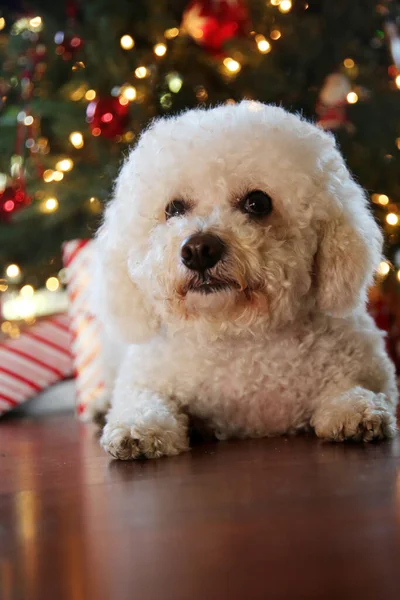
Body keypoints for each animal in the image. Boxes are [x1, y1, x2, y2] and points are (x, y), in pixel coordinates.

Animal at [95, 102, 398, 460]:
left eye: (258, 202)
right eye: (173, 209)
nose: (198, 250)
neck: (240, 337)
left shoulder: (372, 370)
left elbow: (356, 387)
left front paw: (356, 409)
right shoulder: (143, 378)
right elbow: (141, 399)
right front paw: (140, 427)